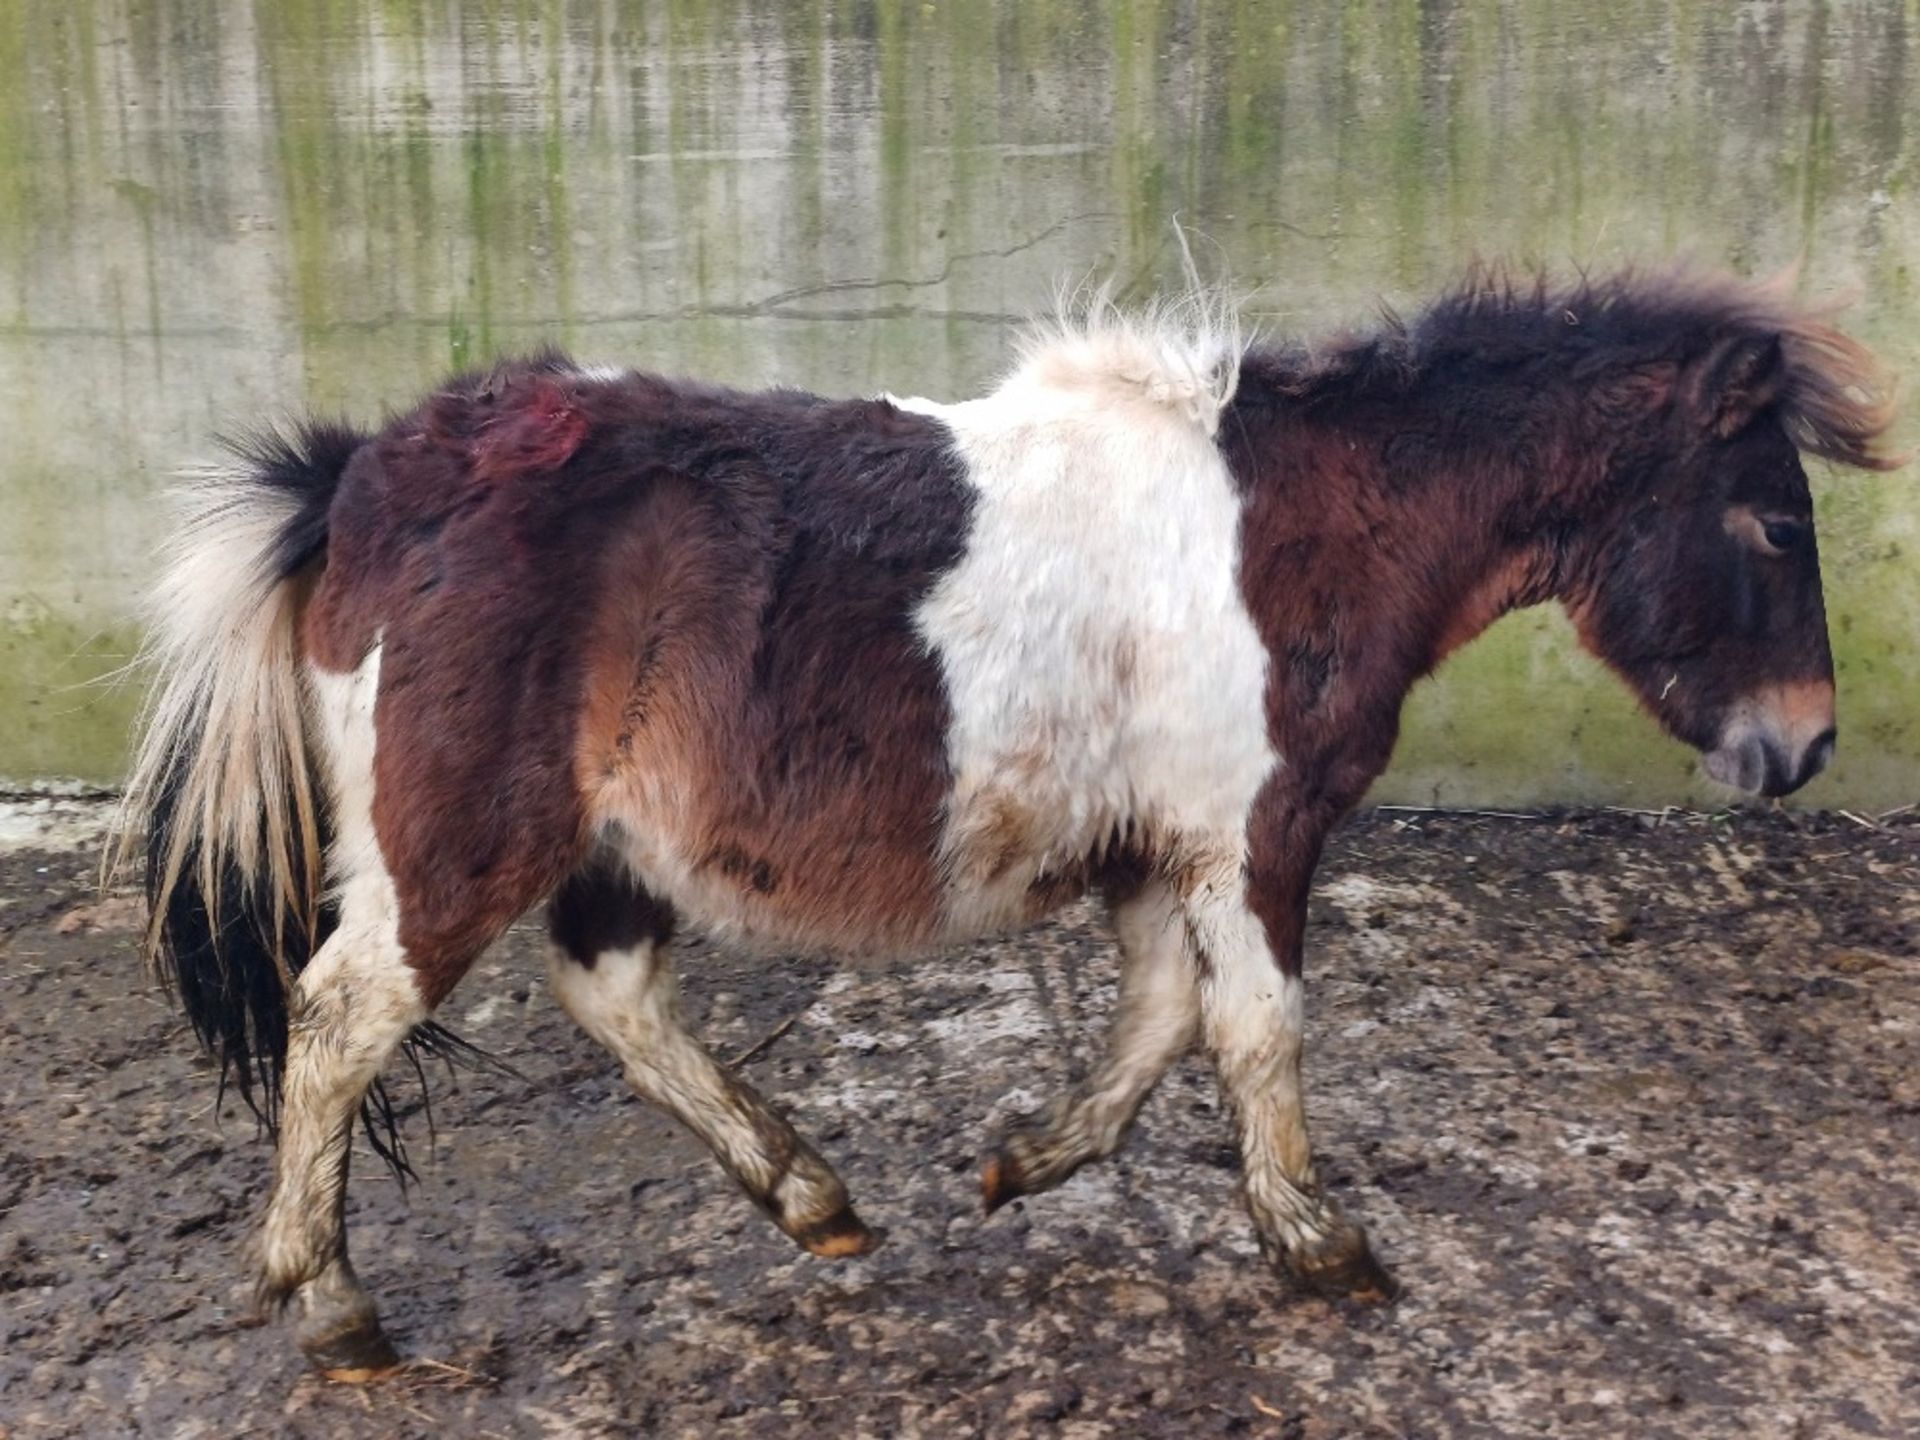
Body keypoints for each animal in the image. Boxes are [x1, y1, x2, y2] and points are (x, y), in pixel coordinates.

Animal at [116, 264, 1889, 1382]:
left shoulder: (1155, 851)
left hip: (599, 853)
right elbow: (1259, 1030)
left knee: (609, 996)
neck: (1305, 525)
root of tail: (365, 475)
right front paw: (1317, 1244)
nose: (1807, 745)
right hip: (459, 848)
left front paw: (1033, 1161)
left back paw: (807, 1195)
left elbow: (1163, 1018)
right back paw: (333, 1307)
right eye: (1773, 518)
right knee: (340, 1022)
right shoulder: (1255, 835)